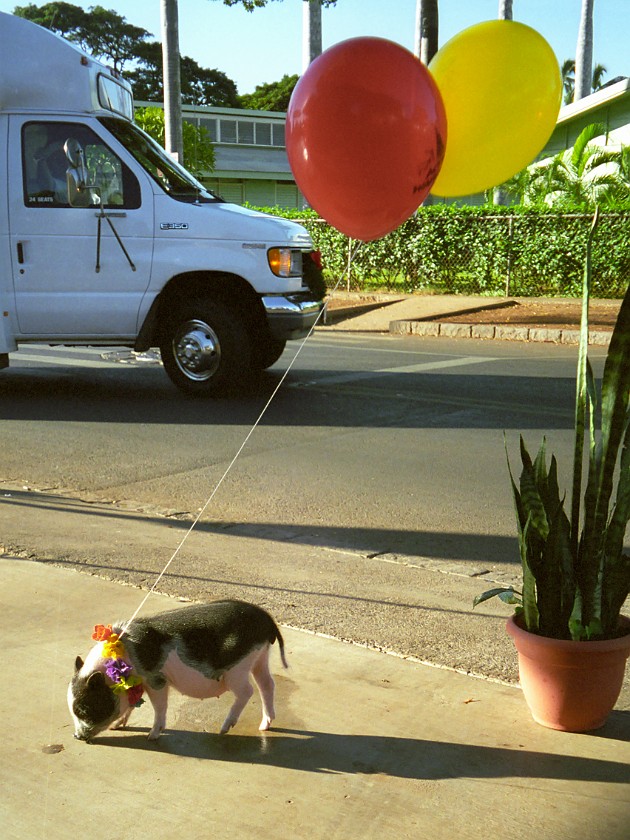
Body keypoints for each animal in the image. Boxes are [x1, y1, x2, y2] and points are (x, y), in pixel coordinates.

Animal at [67, 600, 288, 740]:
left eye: (83, 709)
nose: (77, 737)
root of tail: (267, 619)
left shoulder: (156, 679)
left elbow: (159, 706)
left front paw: (152, 736)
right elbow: (131, 705)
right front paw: (116, 726)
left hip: (237, 668)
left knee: (247, 691)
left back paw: (223, 729)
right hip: (260, 657)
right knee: (267, 684)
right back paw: (264, 725)